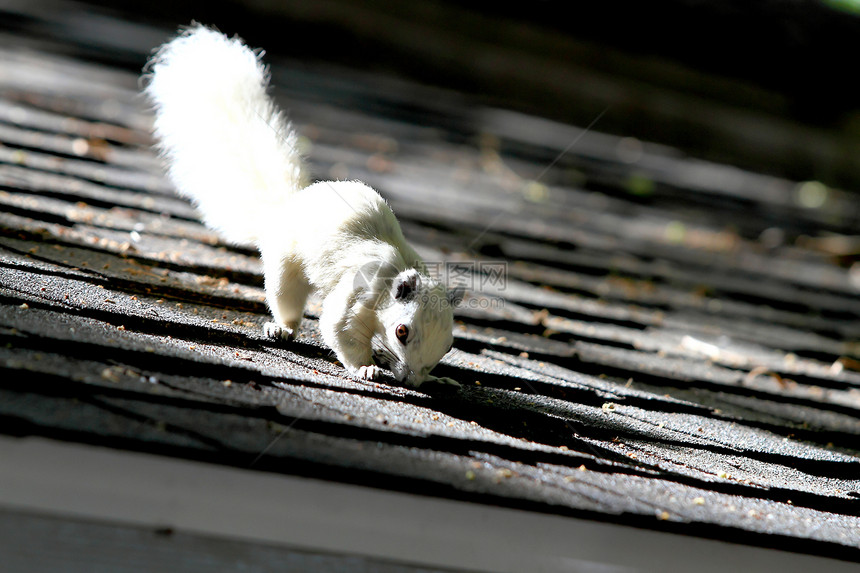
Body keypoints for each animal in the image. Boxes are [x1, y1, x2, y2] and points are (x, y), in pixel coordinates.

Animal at [144, 24, 460, 386]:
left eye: (449, 346)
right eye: (402, 331)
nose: (411, 381)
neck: (396, 272)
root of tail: (286, 207)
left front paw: (438, 380)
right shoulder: (359, 292)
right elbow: (339, 328)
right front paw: (365, 368)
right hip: (286, 265)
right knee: (287, 299)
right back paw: (282, 329)